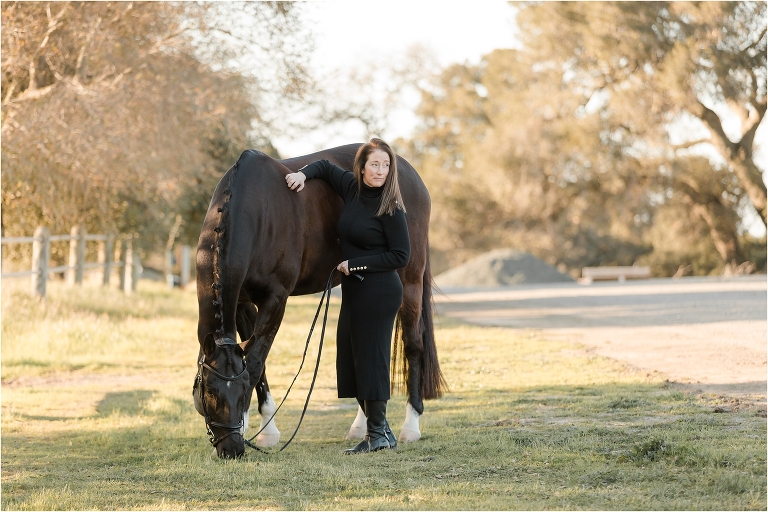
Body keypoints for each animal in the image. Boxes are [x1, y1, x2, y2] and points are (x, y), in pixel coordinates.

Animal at [193, 144, 446, 458]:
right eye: (210, 390)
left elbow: (255, 363)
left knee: (413, 345)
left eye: (238, 393)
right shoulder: (242, 304)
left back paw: (411, 426)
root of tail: (411, 174)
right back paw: (362, 426)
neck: (256, 210)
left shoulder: (275, 299)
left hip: (410, 279)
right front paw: (264, 429)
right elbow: (255, 363)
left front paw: (260, 431)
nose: (232, 449)